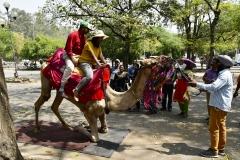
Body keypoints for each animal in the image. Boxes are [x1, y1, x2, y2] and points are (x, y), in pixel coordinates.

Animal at [33, 53, 172, 142]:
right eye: (154, 62)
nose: (170, 58)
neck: (111, 97)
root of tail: (46, 61)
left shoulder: (102, 110)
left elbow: (104, 128)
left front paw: (87, 126)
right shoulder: (89, 112)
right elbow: (95, 138)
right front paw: (80, 126)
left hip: (58, 91)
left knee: (54, 105)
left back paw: (67, 126)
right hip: (46, 81)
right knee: (41, 101)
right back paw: (37, 128)